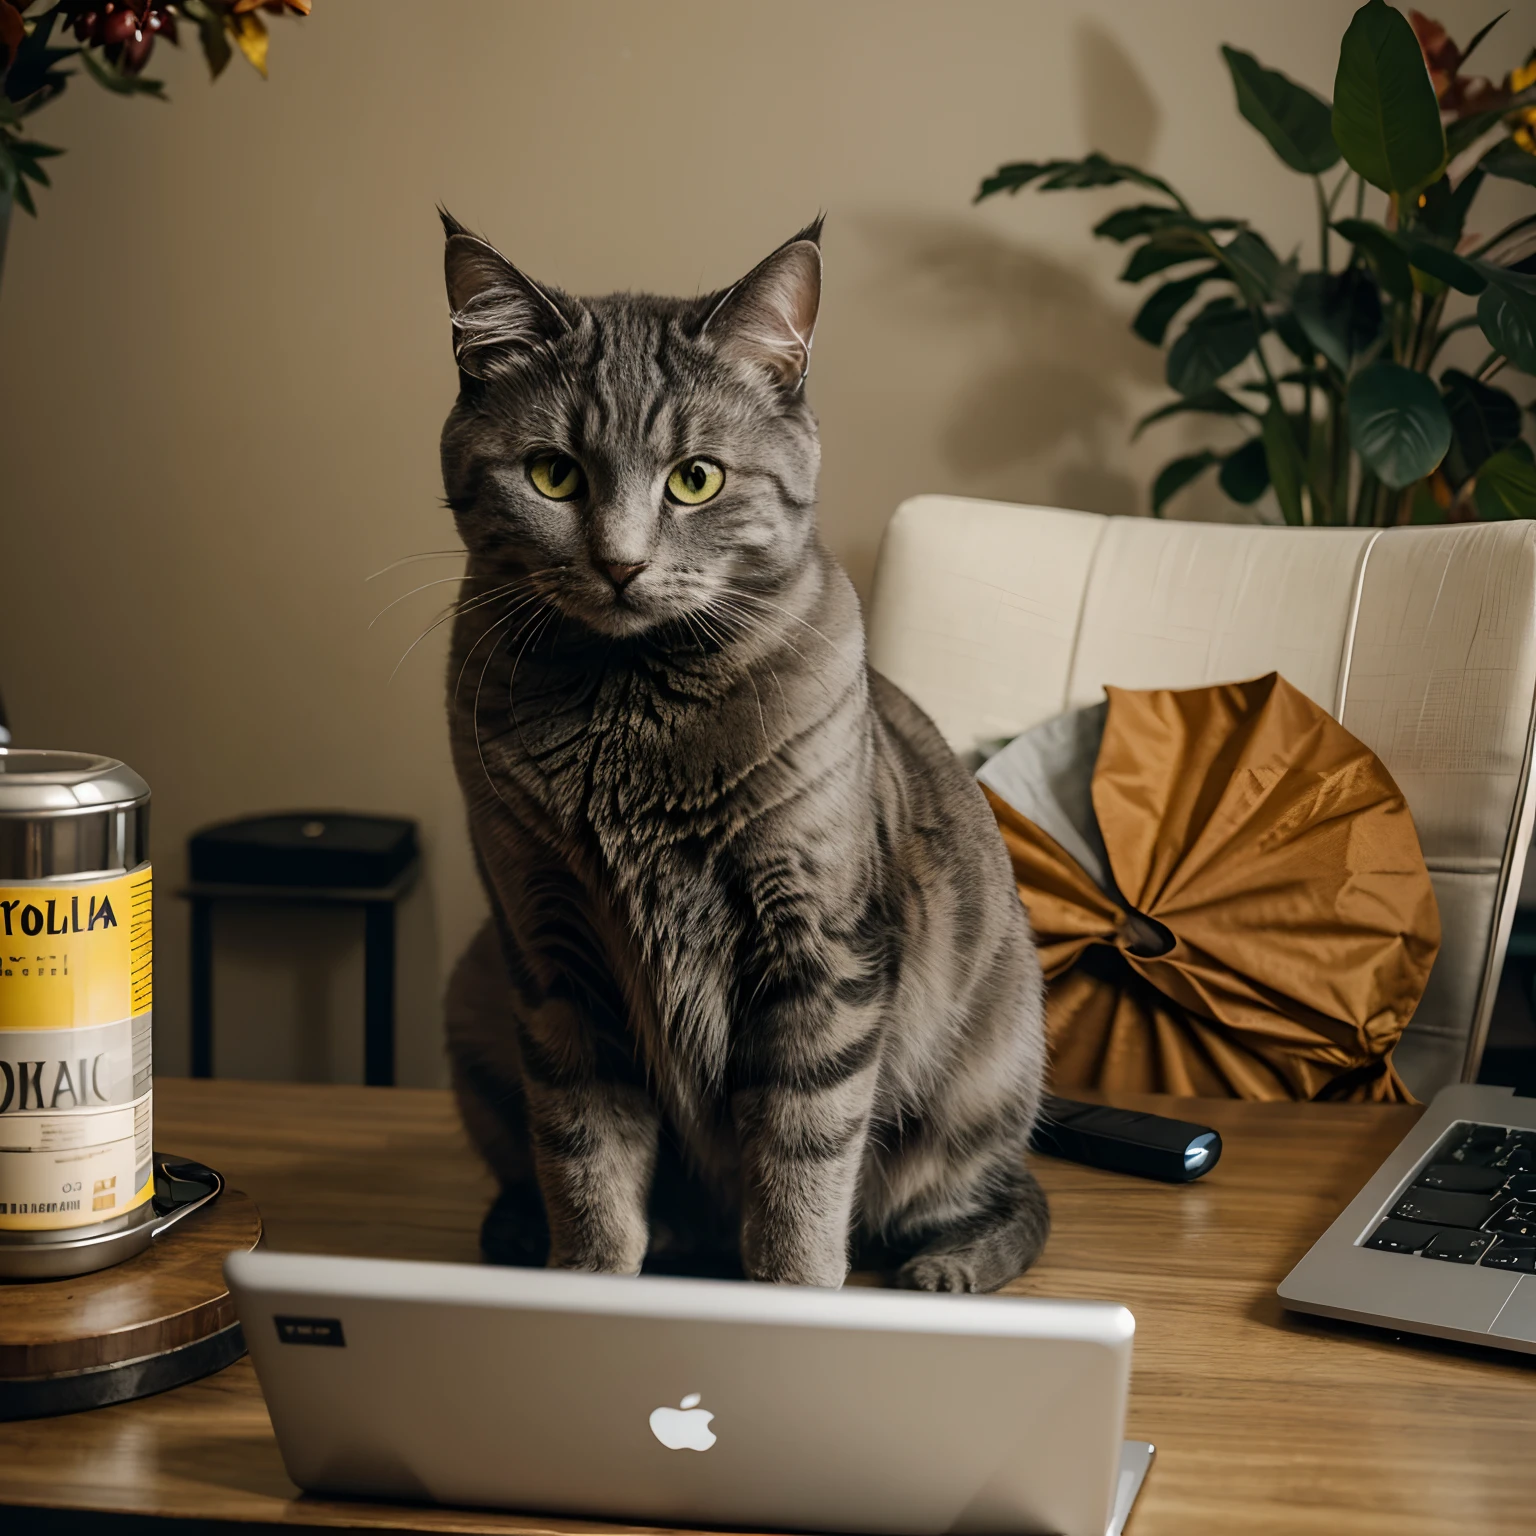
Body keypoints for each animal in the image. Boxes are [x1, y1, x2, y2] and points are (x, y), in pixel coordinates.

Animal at [439, 210, 1050, 1290]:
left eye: (696, 480)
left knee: (1011, 1196)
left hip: (980, 1077)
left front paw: (793, 1293)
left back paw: (950, 1268)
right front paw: (586, 1280)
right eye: (554, 474)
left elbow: (803, 1160)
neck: (627, 710)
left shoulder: (822, 955)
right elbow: (582, 1158)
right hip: (477, 997)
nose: (621, 563)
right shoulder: (555, 957)